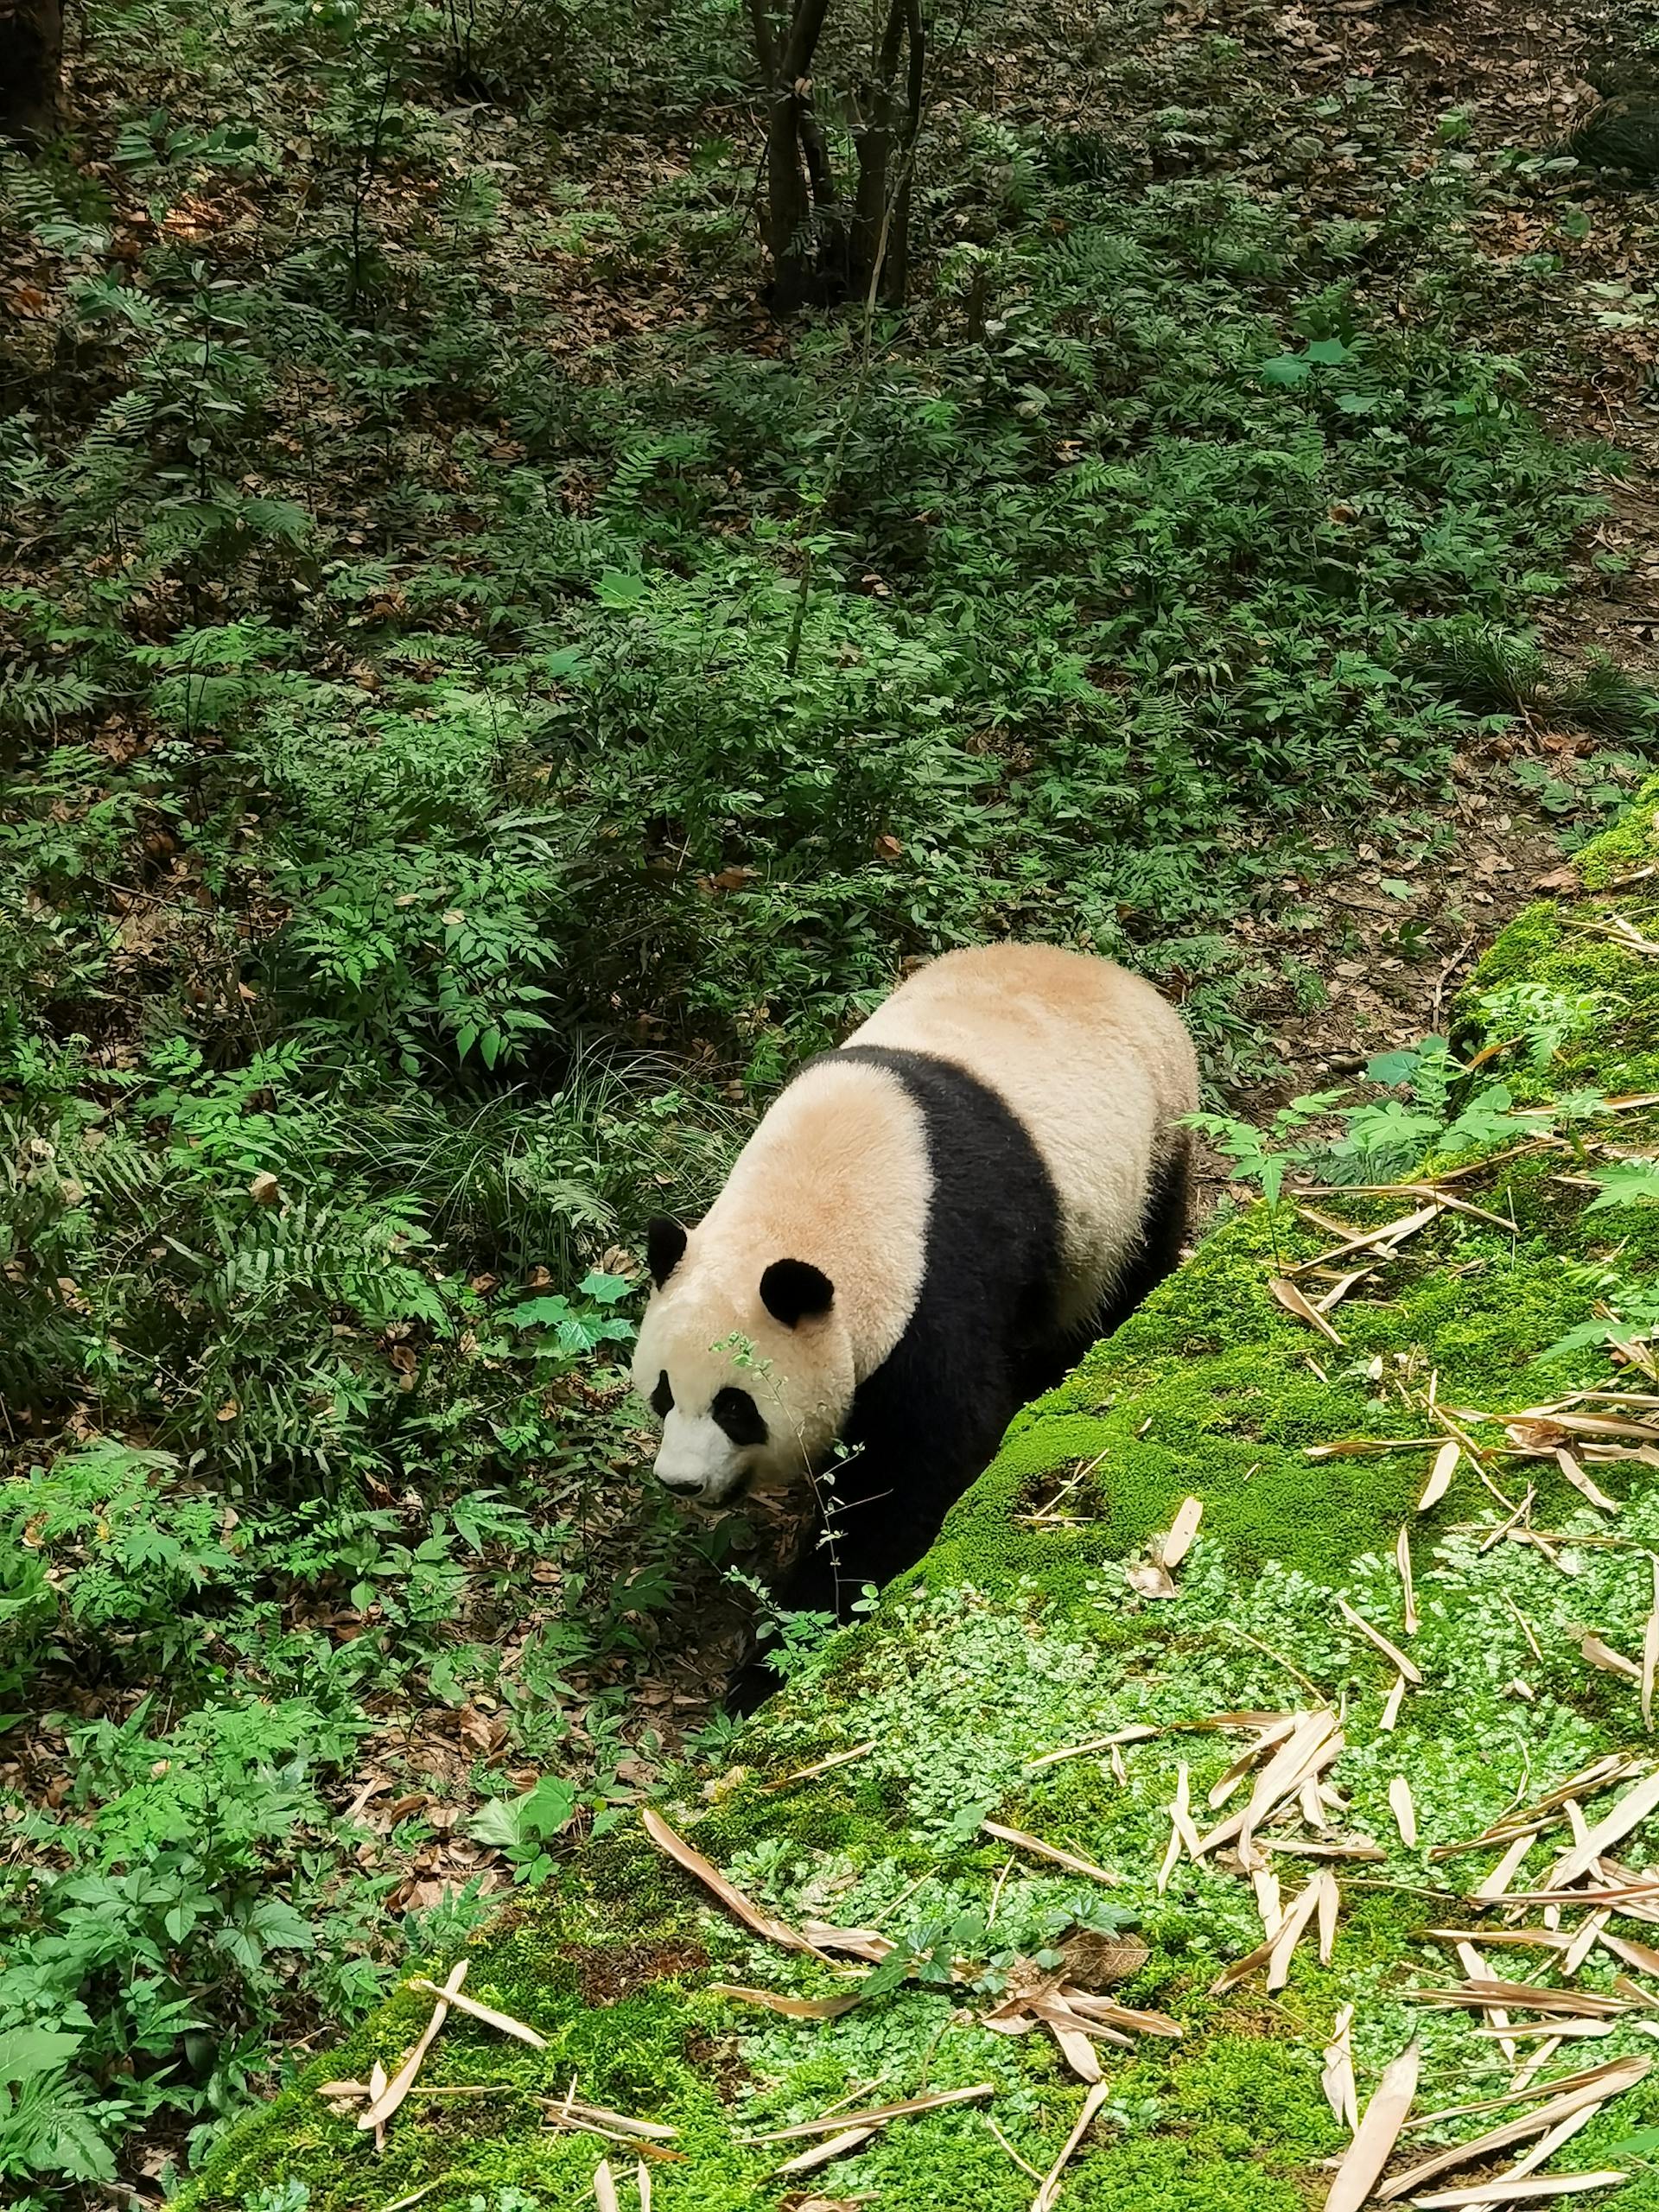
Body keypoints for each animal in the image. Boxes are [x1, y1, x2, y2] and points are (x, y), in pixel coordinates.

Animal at [633, 944, 1199, 1615]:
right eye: (662, 1393)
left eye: (736, 1408)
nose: (681, 1482)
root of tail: (1124, 978)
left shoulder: (937, 1279)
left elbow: (924, 1461)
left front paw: (809, 1608)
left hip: (1151, 1149)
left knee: (1128, 1274)